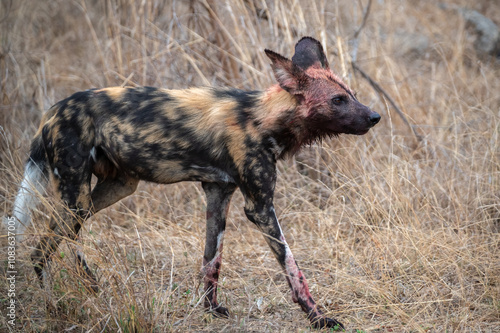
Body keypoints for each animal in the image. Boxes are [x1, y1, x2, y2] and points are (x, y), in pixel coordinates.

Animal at [9, 36, 378, 326]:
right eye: (337, 100)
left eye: (352, 94)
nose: (375, 116)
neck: (263, 120)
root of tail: (51, 112)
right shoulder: (259, 207)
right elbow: (292, 267)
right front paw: (318, 317)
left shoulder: (219, 195)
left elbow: (211, 261)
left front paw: (211, 310)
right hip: (78, 198)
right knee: (49, 246)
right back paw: (64, 301)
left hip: (112, 190)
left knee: (41, 249)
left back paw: (60, 302)